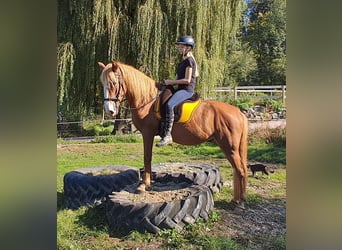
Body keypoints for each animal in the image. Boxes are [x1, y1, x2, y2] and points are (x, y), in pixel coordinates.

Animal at [97, 61, 247, 207]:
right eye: (103, 84)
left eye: (113, 83)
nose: (109, 110)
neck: (148, 101)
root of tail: (238, 112)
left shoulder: (147, 134)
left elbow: (147, 158)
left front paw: (144, 185)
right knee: (237, 169)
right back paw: (236, 199)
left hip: (230, 147)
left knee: (240, 170)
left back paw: (240, 201)